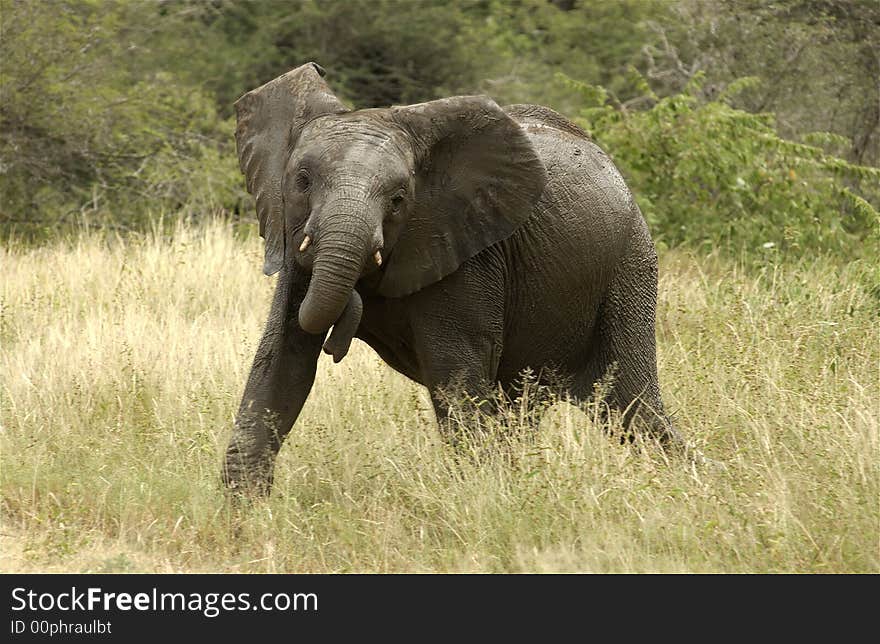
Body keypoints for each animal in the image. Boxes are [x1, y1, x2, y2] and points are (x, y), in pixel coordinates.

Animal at [220, 63, 680, 494]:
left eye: (398, 199)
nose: (339, 341)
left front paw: (484, 495)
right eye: (301, 180)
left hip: (630, 267)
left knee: (632, 406)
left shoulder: (467, 257)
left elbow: (455, 379)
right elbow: (282, 363)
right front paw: (244, 516)